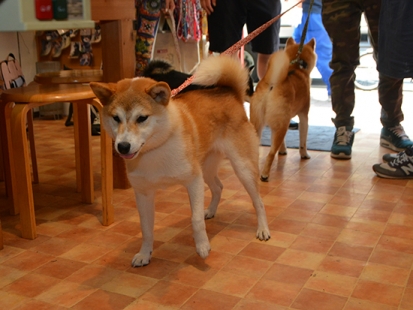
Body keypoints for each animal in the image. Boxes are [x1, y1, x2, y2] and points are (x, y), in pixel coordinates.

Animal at [90, 55, 270, 266]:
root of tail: (229, 92)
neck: (155, 150)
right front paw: (144, 254)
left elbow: (195, 219)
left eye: (142, 118)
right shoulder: (143, 193)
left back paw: (263, 229)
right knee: (218, 187)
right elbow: (146, 228)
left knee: (258, 202)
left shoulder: (193, 181)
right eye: (116, 118)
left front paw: (202, 246)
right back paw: (210, 210)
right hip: (206, 168)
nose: (123, 146)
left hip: (242, 168)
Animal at [248, 37, 316, 182]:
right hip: (282, 125)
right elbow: (303, 140)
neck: (296, 67)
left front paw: (283, 150)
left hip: (259, 123)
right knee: (270, 153)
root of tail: (272, 84)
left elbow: (282, 142)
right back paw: (265, 174)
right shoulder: (303, 116)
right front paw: (304, 154)